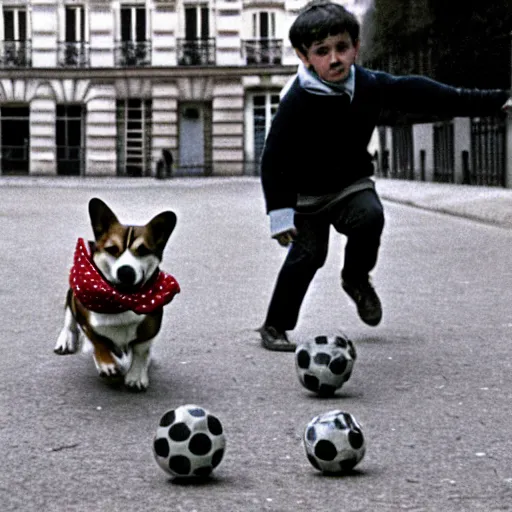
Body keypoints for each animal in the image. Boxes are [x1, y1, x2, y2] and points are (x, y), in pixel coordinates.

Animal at [54, 198, 180, 390]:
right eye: (112, 249)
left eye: (143, 250)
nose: (126, 271)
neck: (120, 301)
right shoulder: (85, 318)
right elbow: (98, 341)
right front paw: (107, 365)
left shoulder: (151, 325)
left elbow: (141, 350)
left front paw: (136, 374)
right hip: (72, 294)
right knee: (69, 317)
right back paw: (66, 340)